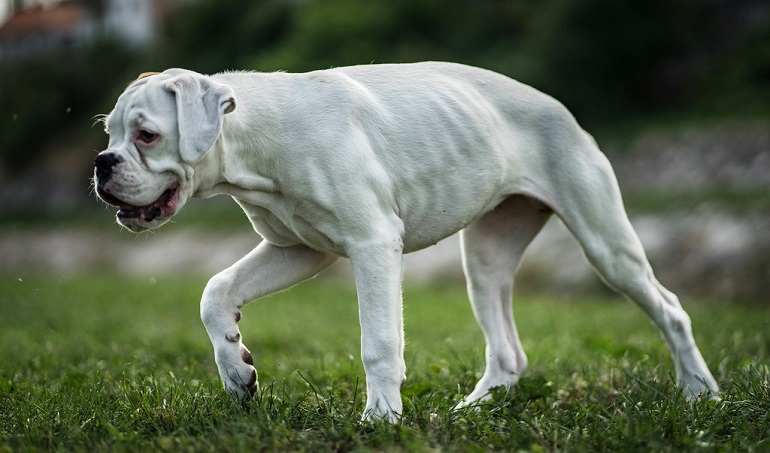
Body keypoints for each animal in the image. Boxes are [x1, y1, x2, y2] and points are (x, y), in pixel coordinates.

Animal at [93, 61, 716, 420]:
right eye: (110, 135)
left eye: (146, 135)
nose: (102, 164)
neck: (257, 134)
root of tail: (562, 108)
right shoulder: (299, 250)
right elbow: (216, 291)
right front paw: (236, 370)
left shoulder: (372, 246)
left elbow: (378, 343)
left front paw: (380, 421)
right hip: (485, 260)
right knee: (507, 351)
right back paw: (470, 413)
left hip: (607, 245)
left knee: (670, 309)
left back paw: (701, 395)